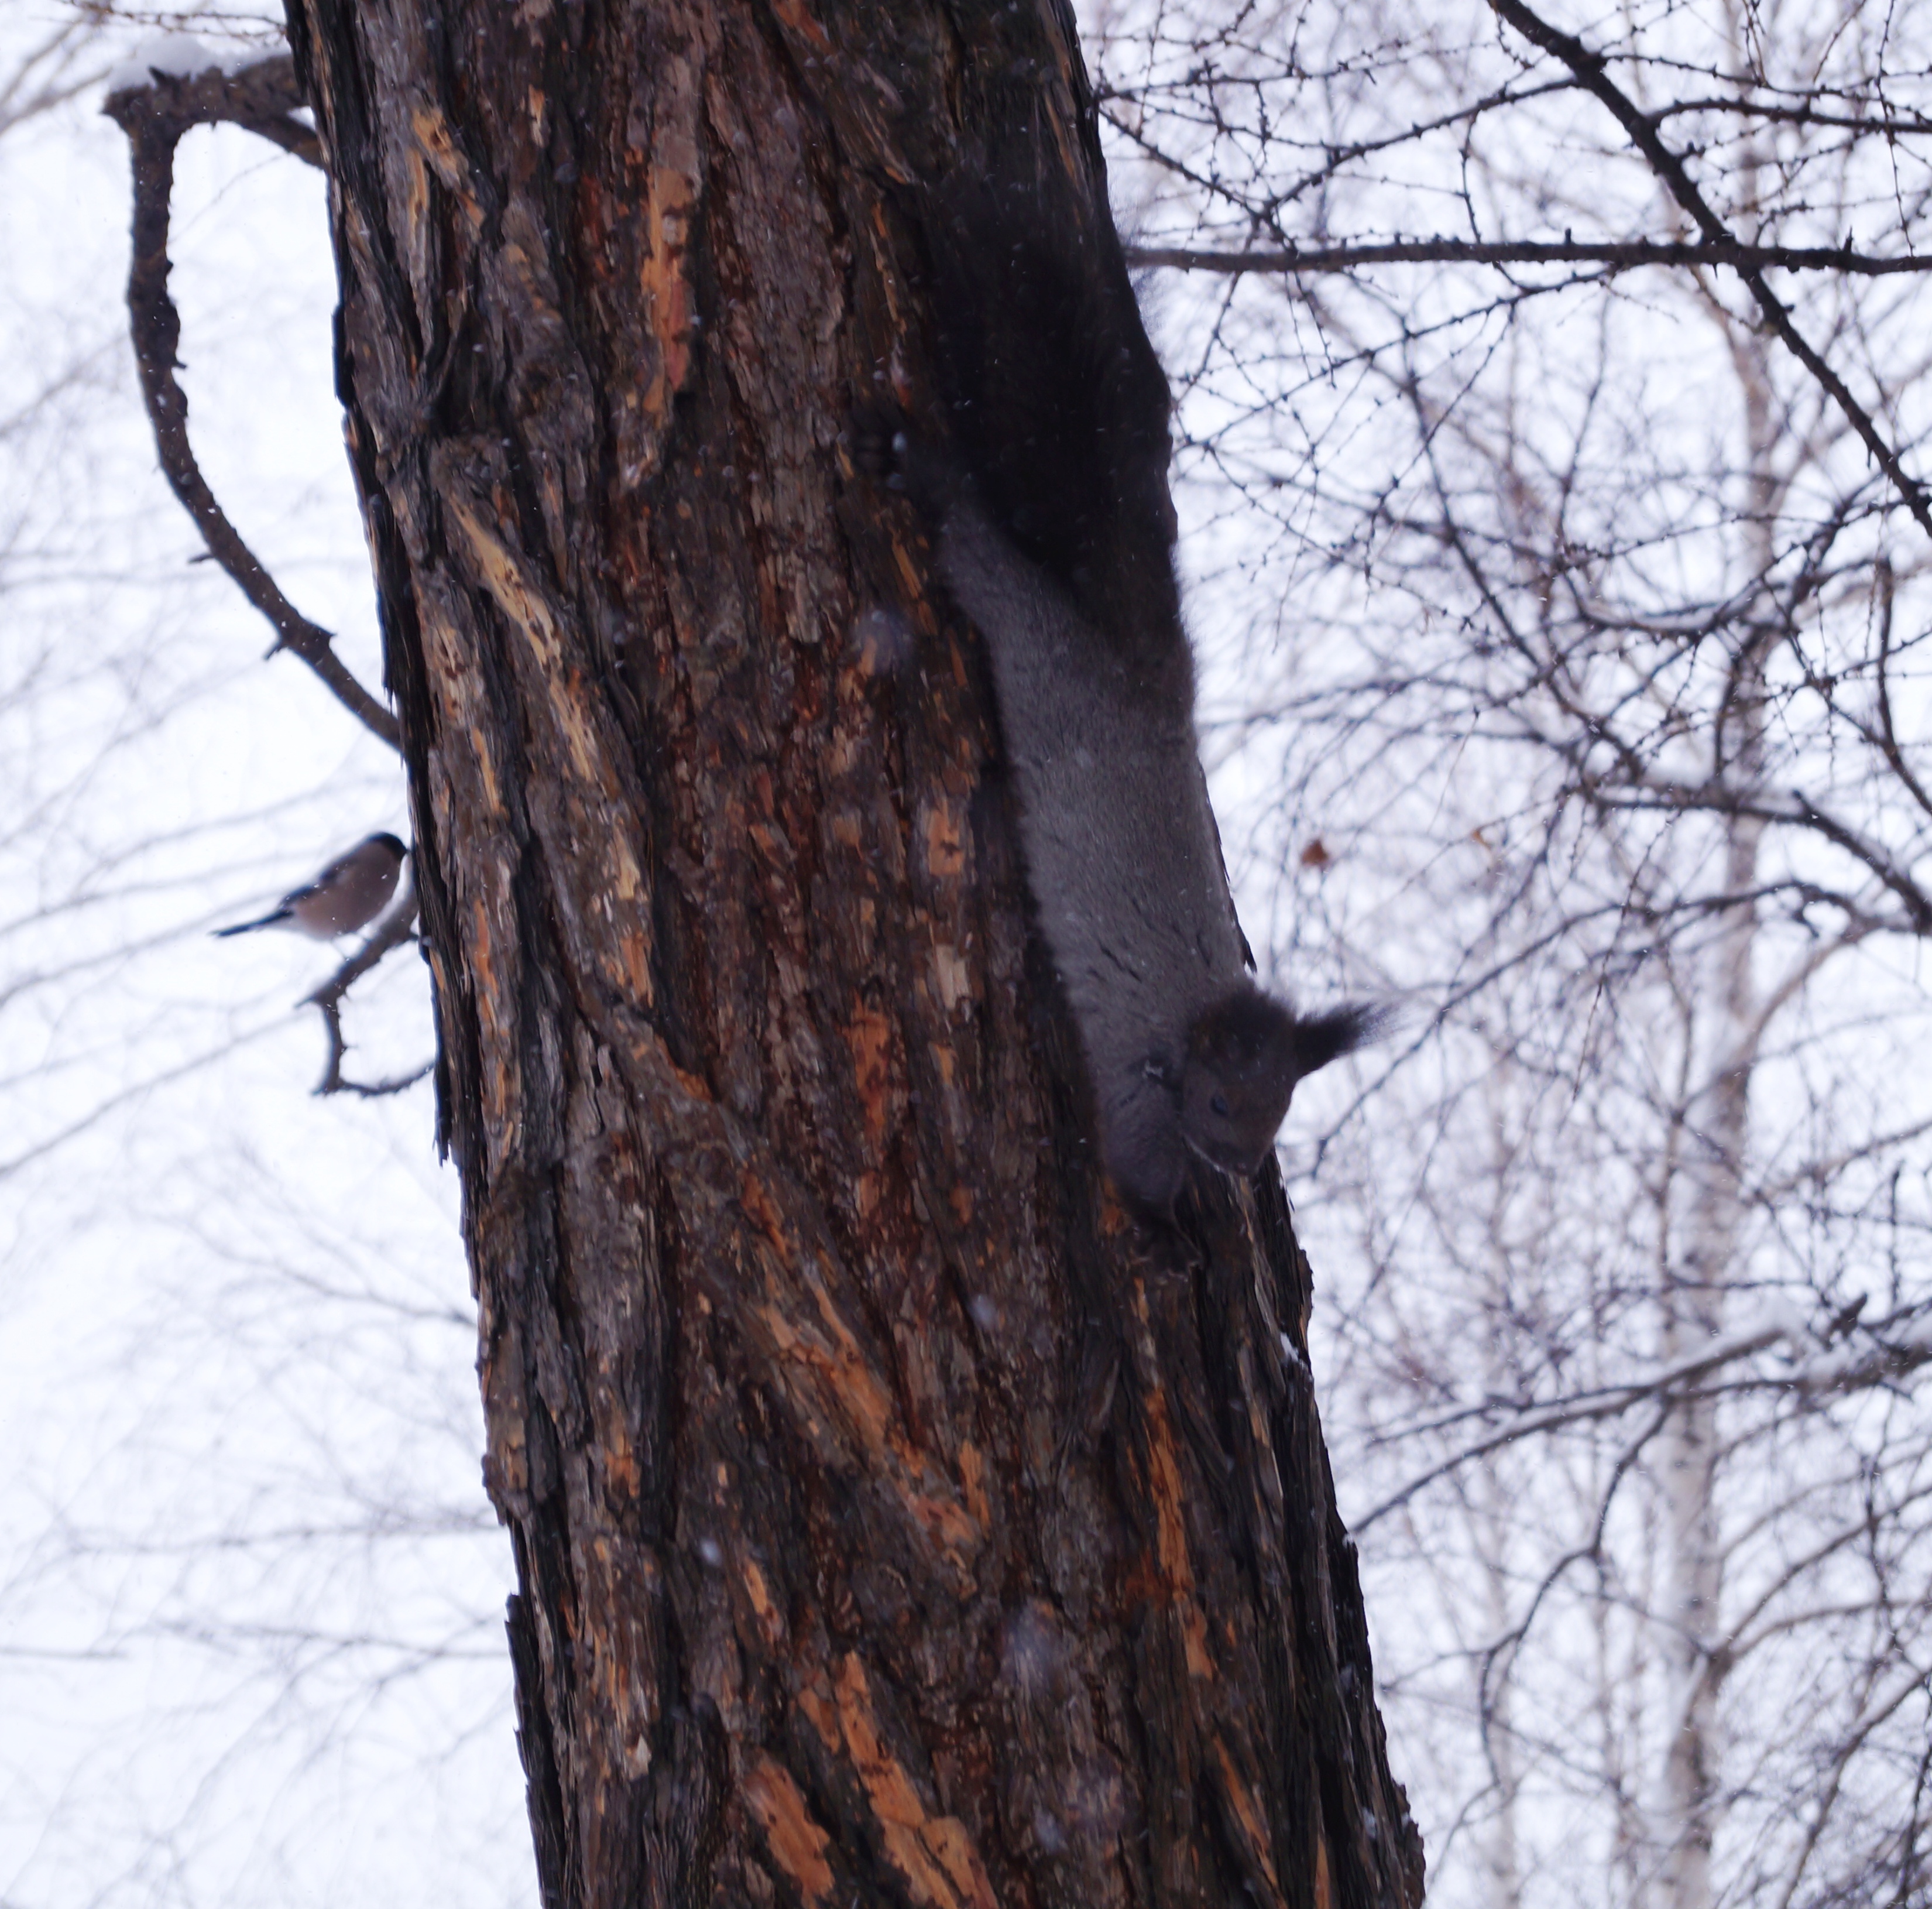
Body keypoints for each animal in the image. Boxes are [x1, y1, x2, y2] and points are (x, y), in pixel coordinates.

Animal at [854, 171, 1377, 1218]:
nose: (1242, 1168)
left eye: (1283, 1108)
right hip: (1032, 644)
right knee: (984, 558)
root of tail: (1137, 674)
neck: (1184, 1030)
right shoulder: (1137, 1101)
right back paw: (923, 470)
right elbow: (1135, 1175)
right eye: (1221, 1103)